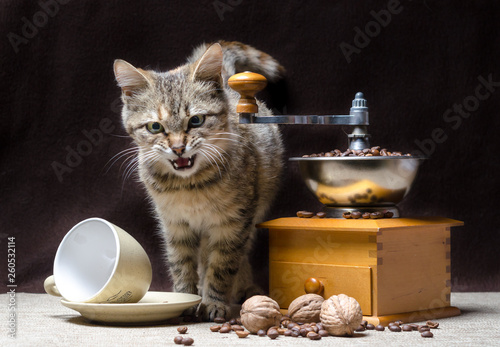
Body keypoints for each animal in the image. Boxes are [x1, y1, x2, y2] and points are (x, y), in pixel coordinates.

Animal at [114, 40, 286, 320]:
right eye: (154, 127)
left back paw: (243, 288)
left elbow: (223, 267)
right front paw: (185, 298)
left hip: (252, 217)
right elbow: (180, 264)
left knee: (235, 257)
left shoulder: (233, 224)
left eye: (196, 120)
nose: (178, 148)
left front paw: (214, 302)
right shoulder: (174, 225)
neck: (189, 187)